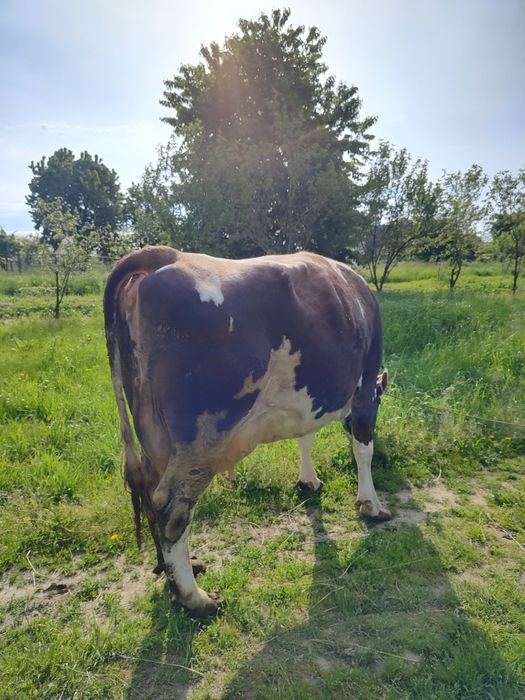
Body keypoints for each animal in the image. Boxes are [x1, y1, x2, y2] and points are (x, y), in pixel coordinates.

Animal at [103, 245, 389, 617]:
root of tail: (167, 256)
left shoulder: (309, 398)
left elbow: (306, 437)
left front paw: (308, 480)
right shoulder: (366, 386)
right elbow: (362, 448)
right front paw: (371, 504)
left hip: (153, 434)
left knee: (152, 496)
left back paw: (178, 570)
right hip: (203, 436)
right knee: (172, 509)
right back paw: (196, 599)